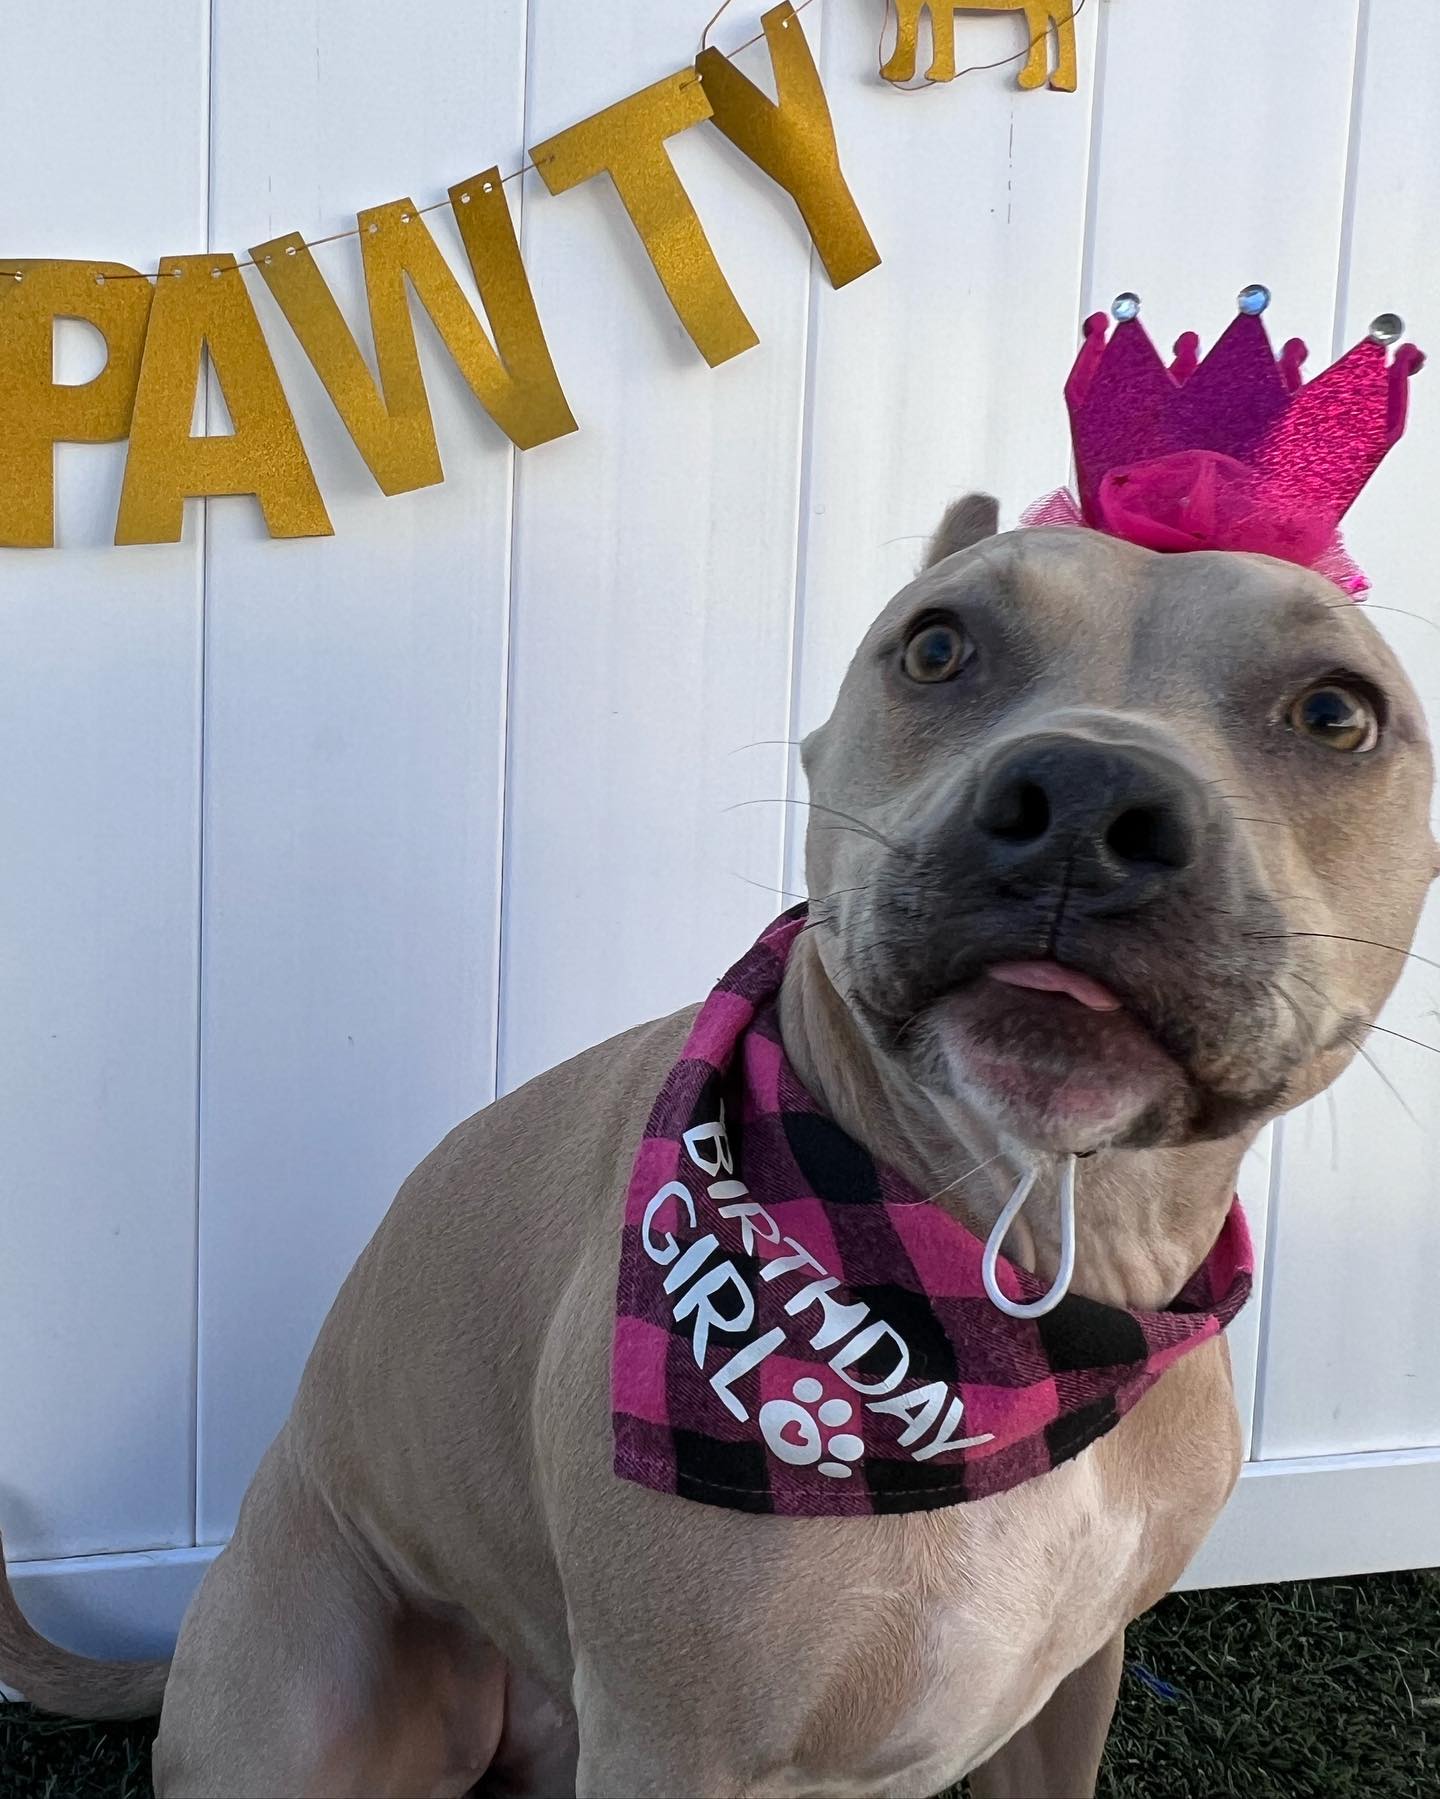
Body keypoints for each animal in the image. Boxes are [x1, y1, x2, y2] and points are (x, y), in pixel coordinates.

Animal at [1, 500, 1433, 1797]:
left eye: (1336, 714)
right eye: (937, 647)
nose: (1084, 796)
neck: (1021, 1290)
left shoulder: (1069, 1691)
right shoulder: (675, 1742)